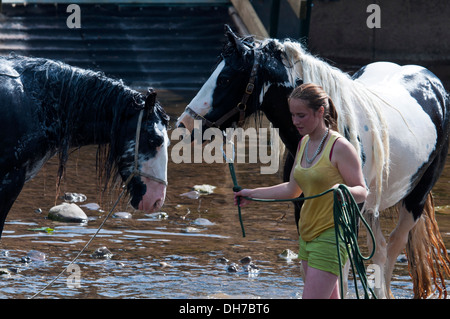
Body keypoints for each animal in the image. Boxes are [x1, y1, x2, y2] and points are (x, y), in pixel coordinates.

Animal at [177, 26, 450, 298]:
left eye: (225, 79)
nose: (184, 125)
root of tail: (433, 84)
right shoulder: (302, 205)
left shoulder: (350, 209)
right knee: (381, 250)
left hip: (415, 200)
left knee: (393, 248)